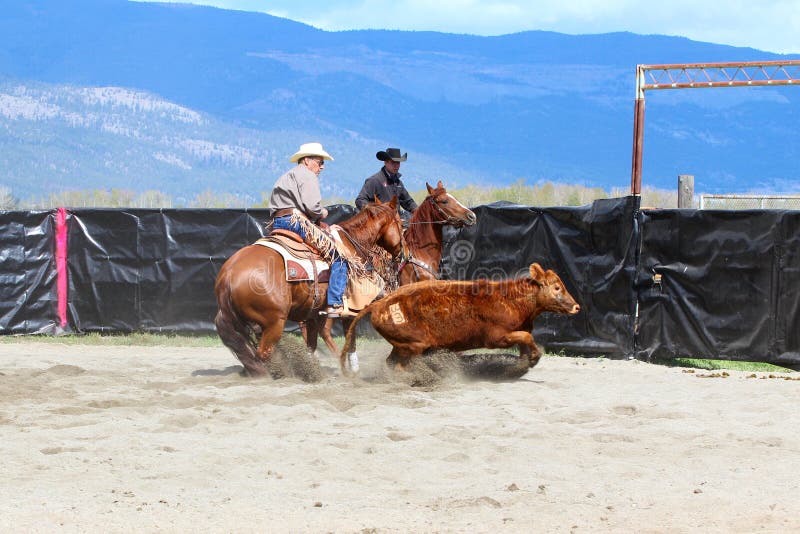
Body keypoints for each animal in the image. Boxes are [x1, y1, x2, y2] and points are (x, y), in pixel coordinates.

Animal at [214, 197, 407, 378]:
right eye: (400, 223)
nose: (403, 254)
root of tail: (228, 275)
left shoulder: (313, 315)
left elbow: (312, 346)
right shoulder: (351, 309)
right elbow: (351, 340)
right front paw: (355, 372)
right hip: (274, 323)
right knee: (264, 354)